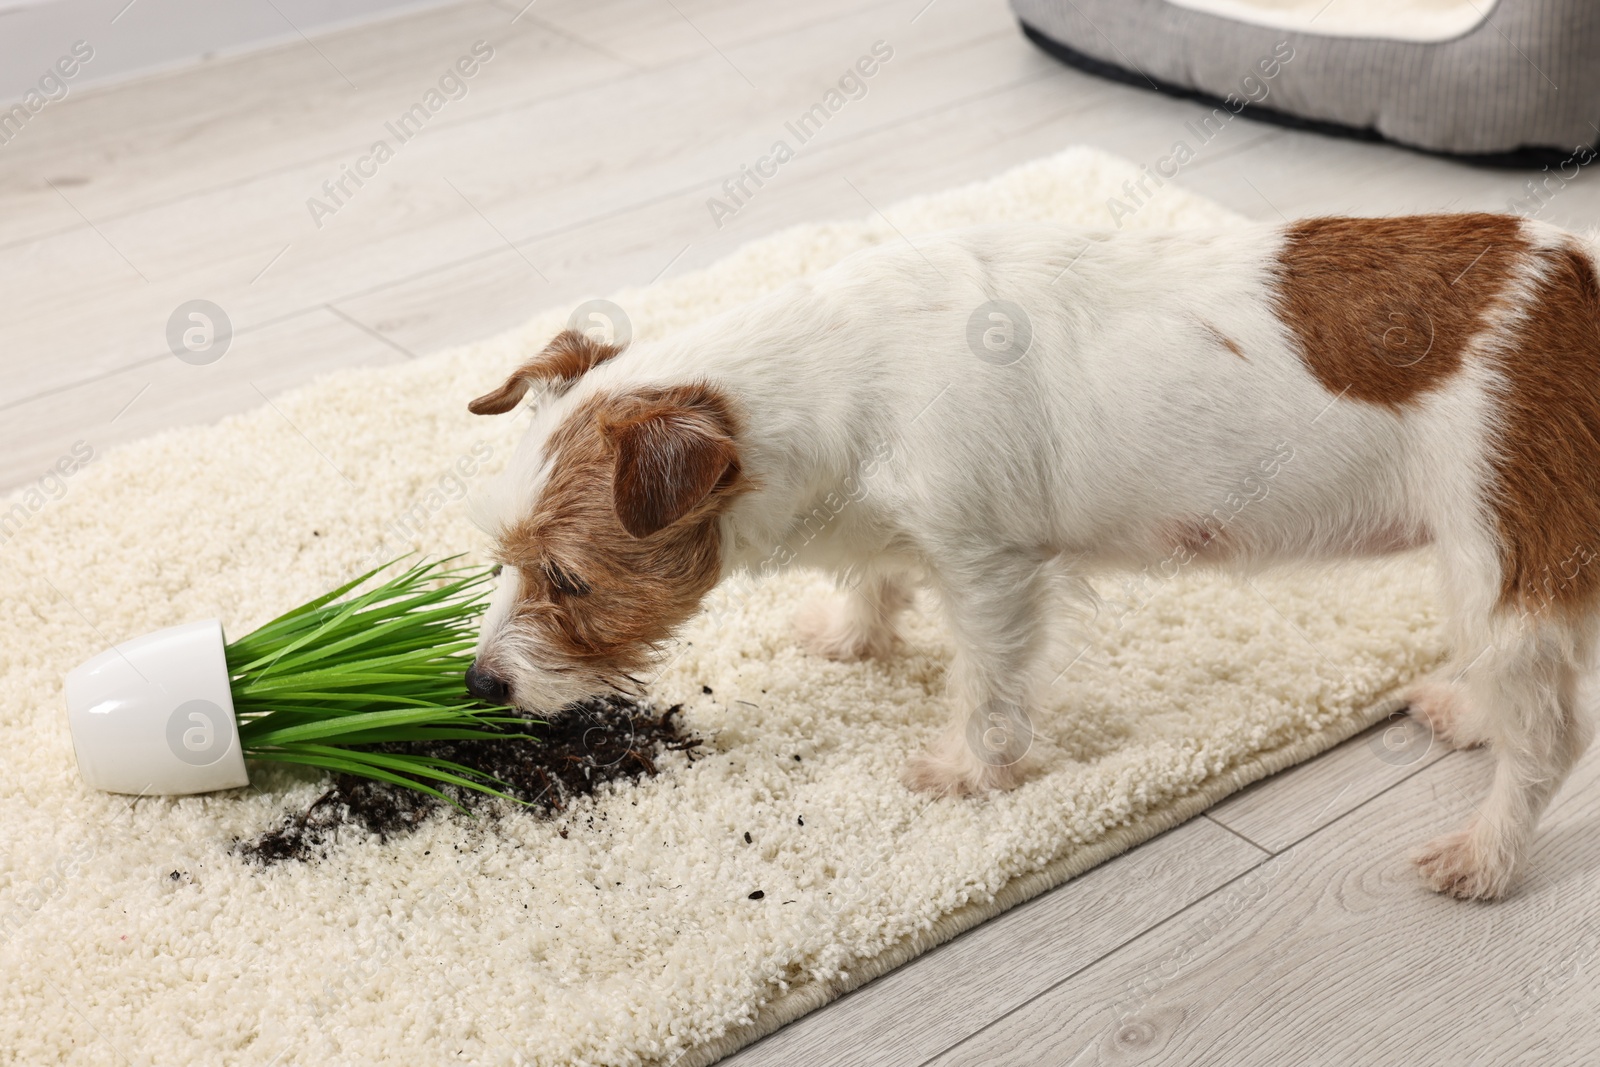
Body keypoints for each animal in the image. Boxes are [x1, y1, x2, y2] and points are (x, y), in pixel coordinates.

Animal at [464, 217, 1600, 902]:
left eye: (568, 579)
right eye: (499, 560)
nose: (479, 685)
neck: (834, 381)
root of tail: (1576, 283)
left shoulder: (989, 566)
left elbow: (987, 686)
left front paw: (968, 773)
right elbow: (870, 575)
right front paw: (854, 634)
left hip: (1497, 556)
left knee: (1549, 739)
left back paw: (1484, 855)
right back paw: (1466, 711)